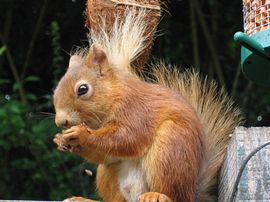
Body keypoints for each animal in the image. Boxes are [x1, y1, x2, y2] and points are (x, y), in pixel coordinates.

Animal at [52, 8, 243, 201]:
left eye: (83, 89)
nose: (61, 122)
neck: (113, 96)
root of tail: (191, 193)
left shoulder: (136, 109)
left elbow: (127, 137)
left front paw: (81, 134)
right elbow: (107, 154)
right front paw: (61, 140)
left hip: (170, 148)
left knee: (173, 194)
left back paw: (158, 195)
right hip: (108, 174)